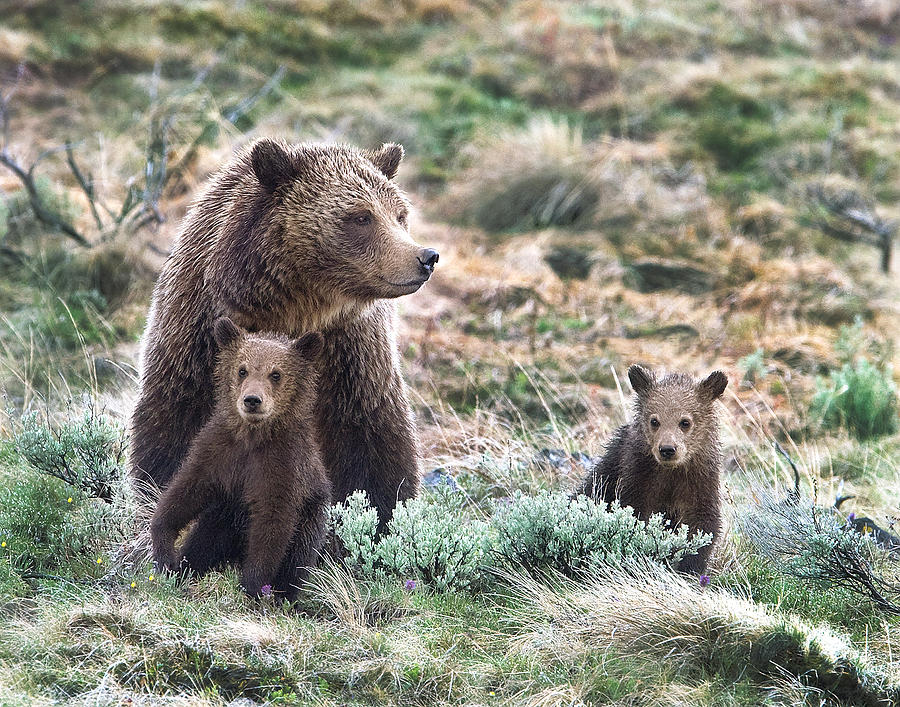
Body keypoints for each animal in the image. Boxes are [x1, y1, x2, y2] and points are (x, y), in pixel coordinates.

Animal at [132, 140, 438, 560]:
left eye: (399, 214)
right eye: (360, 216)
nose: (425, 257)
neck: (294, 308)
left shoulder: (351, 354)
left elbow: (371, 441)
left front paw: (379, 523)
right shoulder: (202, 333)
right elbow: (176, 425)